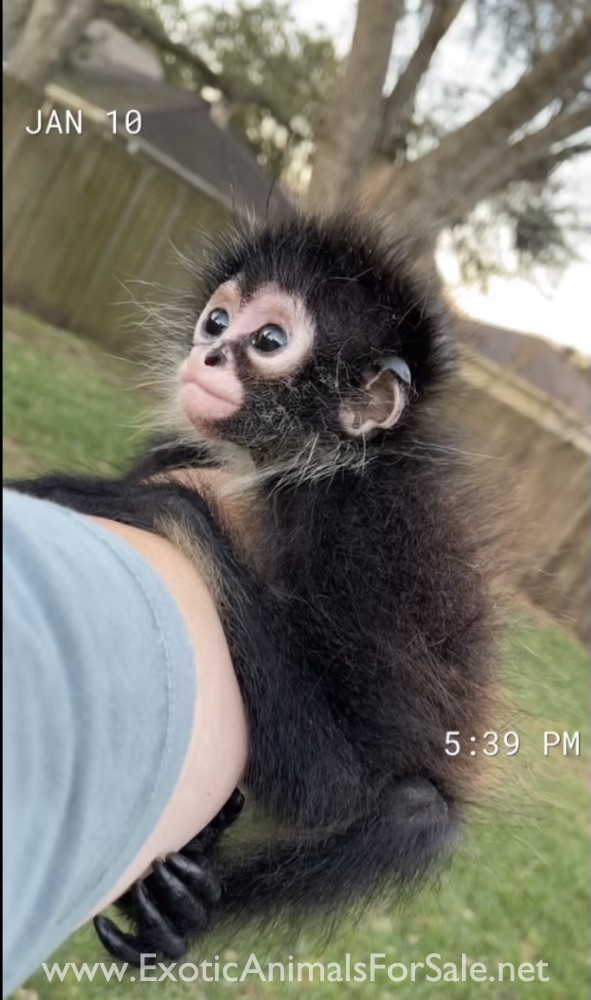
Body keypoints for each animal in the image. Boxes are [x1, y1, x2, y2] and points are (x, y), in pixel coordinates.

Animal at [7, 211, 498, 967]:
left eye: (267, 341)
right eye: (215, 322)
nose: (206, 356)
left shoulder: (353, 528)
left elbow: (335, 786)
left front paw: (124, 501)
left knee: (417, 811)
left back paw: (184, 911)